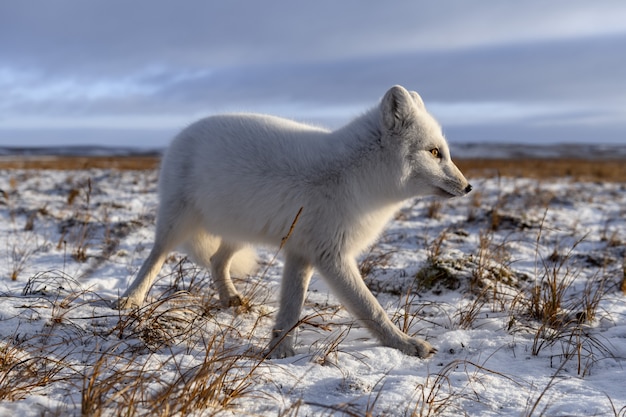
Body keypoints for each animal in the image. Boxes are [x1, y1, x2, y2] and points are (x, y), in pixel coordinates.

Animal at [116, 84, 468, 358]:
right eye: (435, 152)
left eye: (444, 151)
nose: (468, 187)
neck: (357, 176)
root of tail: (183, 133)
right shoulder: (331, 255)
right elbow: (371, 308)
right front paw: (405, 344)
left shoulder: (301, 252)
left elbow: (291, 306)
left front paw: (280, 349)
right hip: (178, 222)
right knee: (156, 256)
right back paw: (131, 298)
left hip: (240, 230)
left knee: (217, 260)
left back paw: (230, 299)